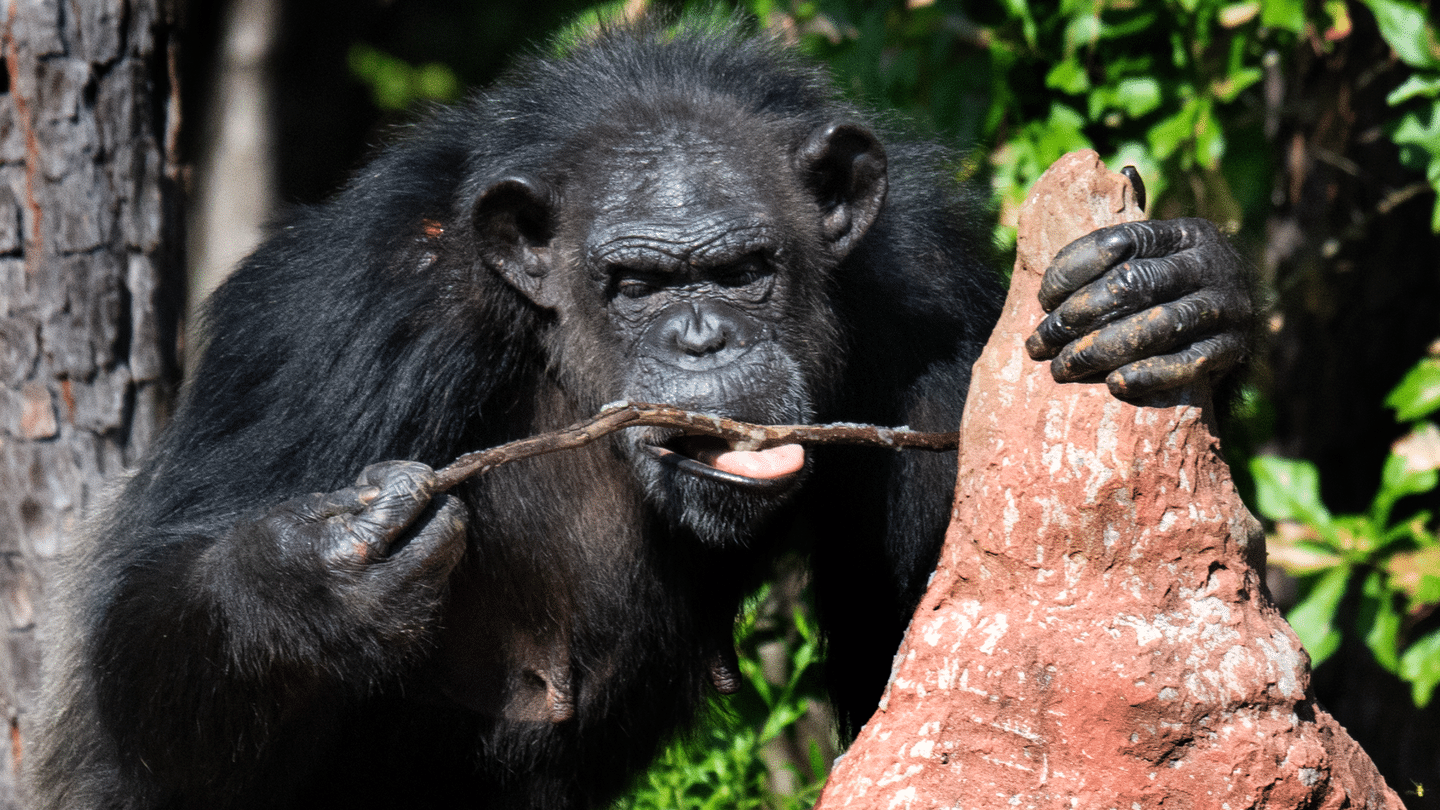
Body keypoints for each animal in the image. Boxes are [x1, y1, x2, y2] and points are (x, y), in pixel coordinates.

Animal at [30, 15, 1249, 807]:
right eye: (635, 284)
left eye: (746, 270)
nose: (701, 338)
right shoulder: (337, 322)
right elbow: (138, 671)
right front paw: (316, 576)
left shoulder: (930, 296)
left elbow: (945, 660)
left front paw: (1173, 297)